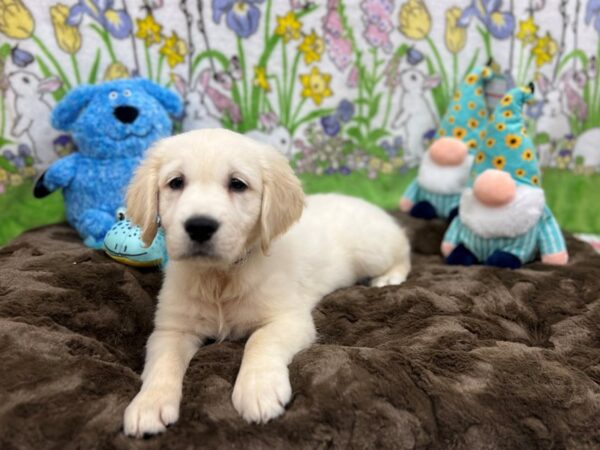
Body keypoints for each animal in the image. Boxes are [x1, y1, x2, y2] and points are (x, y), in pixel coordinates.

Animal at [123, 129, 412, 436]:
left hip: (373, 250)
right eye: (176, 182)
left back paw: (389, 276)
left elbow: (260, 340)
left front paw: (258, 390)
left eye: (237, 184)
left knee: (405, 248)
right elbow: (163, 362)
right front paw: (148, 404)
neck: (220, 277)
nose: (200, 226)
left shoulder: (289, 318)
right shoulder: (171, 329)